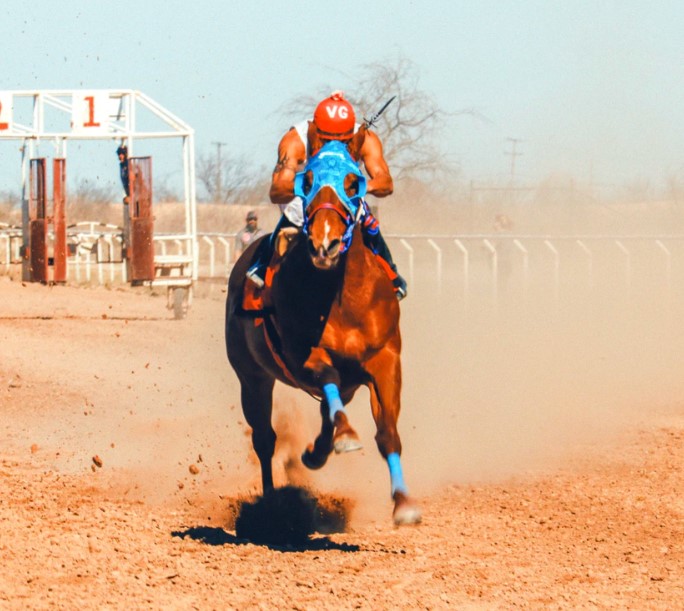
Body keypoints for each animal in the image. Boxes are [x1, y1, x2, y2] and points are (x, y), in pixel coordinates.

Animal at [224, 131, 422, 524]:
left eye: (353, 183)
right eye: (308, 181)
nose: (325, 244)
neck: (345, 297)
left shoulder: (385, 360)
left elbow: (387, 433)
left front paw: (404, 503)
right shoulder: (306, 357)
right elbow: (328, 383)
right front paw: (346, 435)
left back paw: (314, 454)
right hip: (251, 375)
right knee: (265, 438)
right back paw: (273, 503)